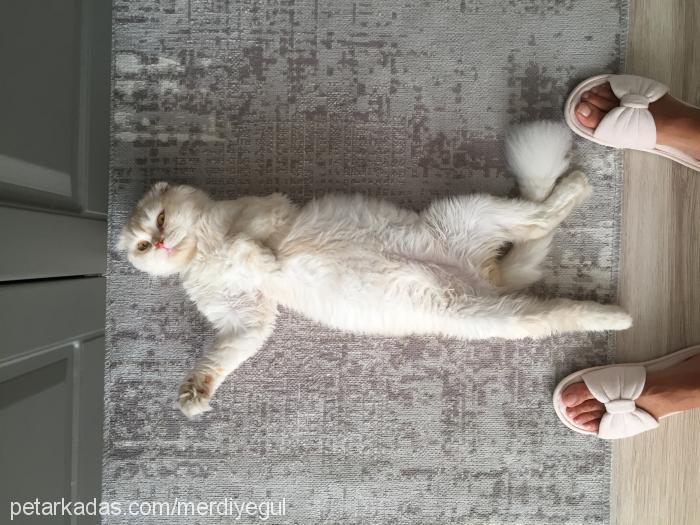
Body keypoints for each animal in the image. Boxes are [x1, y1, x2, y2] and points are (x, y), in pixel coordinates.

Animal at [117, 121, 632, 416]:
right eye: (142, 243)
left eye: (159, 221)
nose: (158, 242)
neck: (202, 251)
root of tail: (483, 274)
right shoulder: (245, 319)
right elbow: (222, 356)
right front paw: (195, 393)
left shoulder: (265, 212)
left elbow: (246, 241)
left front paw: (265, 258)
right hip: (499, 316)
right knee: (559, 306)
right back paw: (616, 316)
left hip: (476, 216)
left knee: (546, 211)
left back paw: (581, 188)